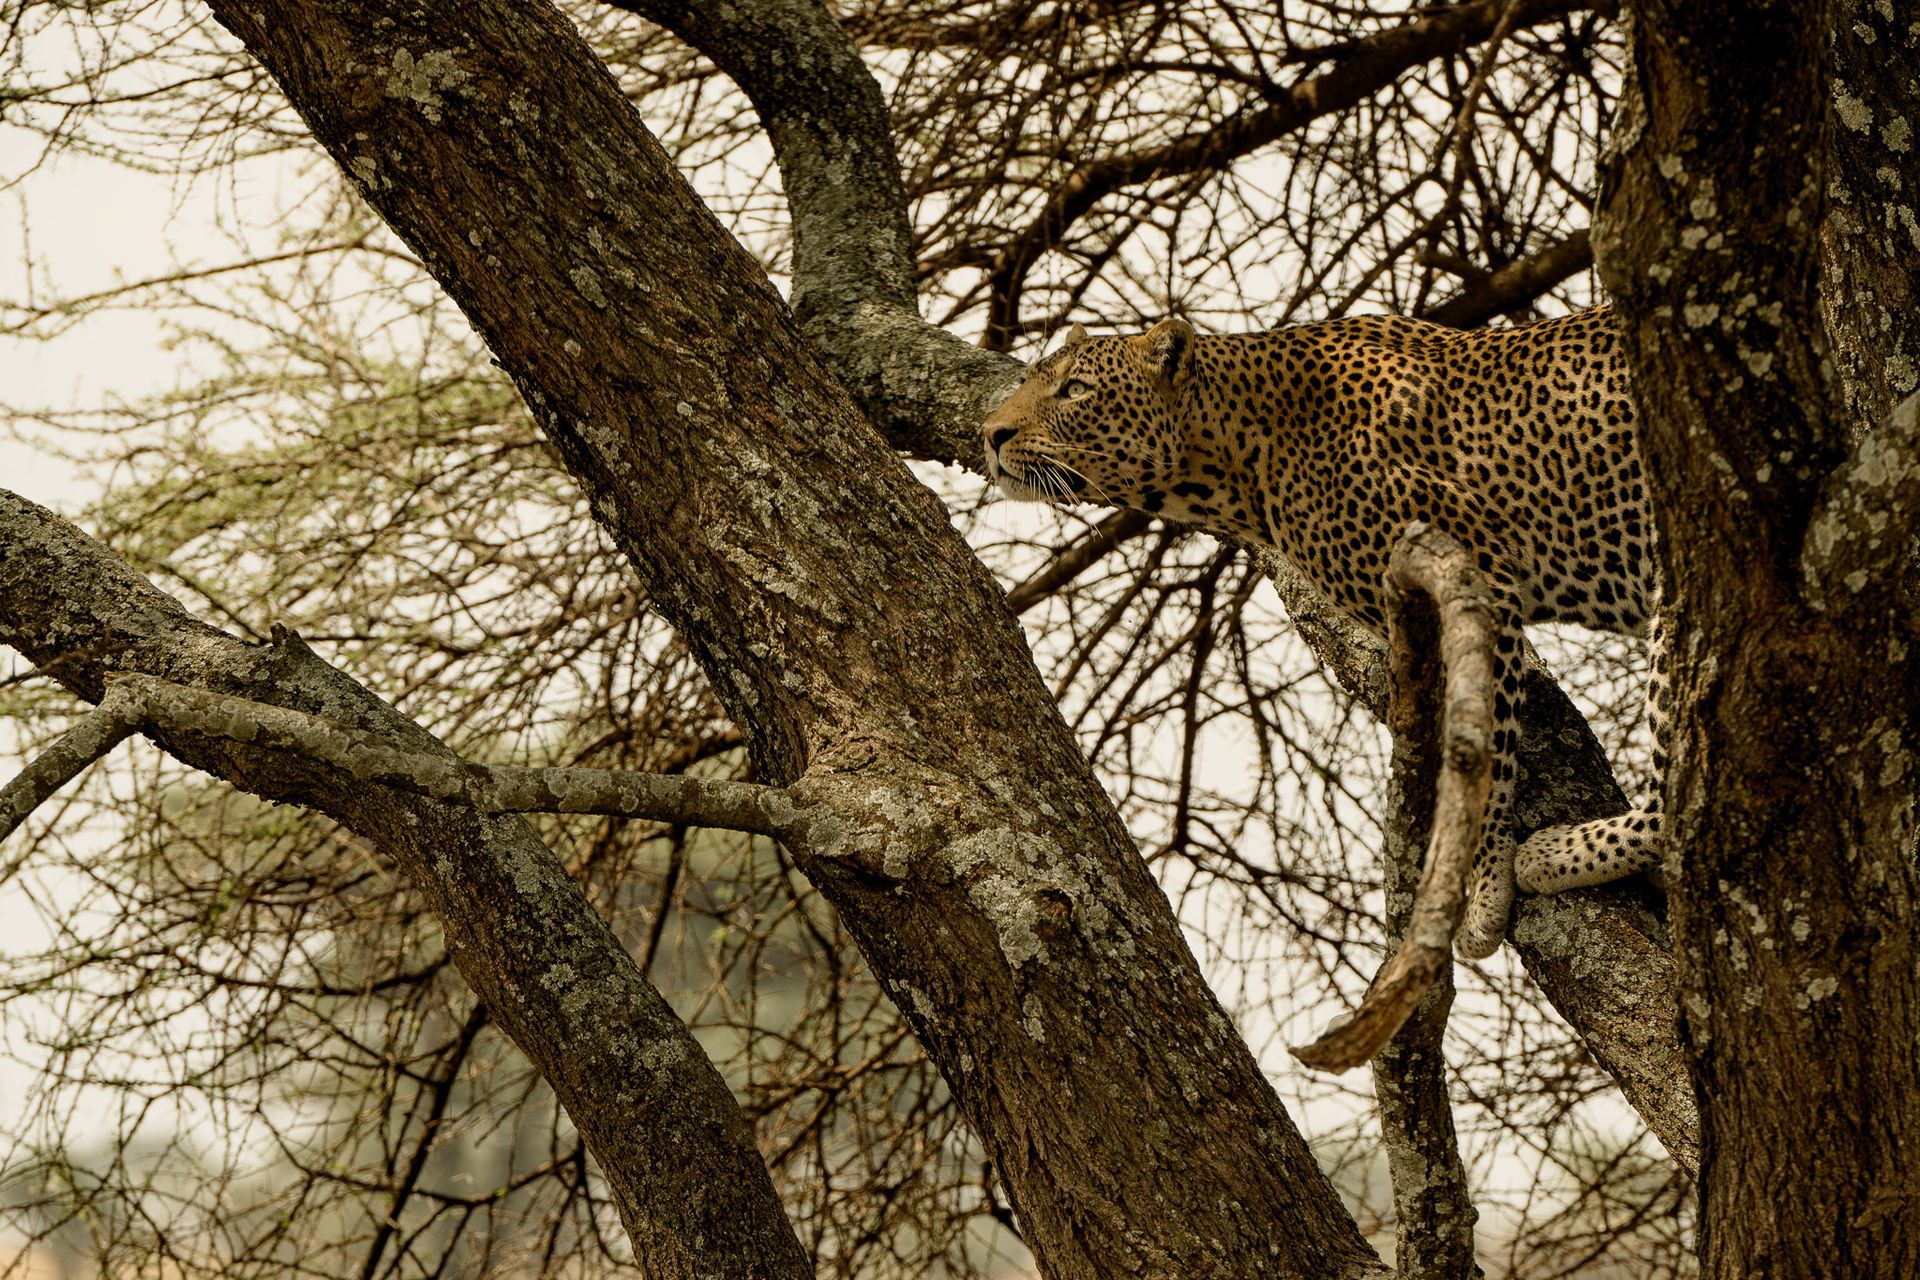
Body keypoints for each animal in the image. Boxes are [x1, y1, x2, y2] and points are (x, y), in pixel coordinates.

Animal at [982, 307, 1667, 959]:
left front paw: (1482, 888)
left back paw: (1552, 855)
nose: (991, 434)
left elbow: (1487, 751)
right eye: (1031, 379)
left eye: (1074, 389)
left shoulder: (1480, 577)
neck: (1234, 453)